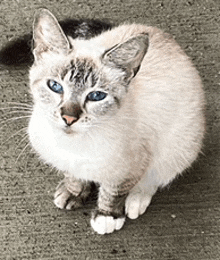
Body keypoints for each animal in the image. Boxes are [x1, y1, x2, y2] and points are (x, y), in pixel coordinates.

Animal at [1, 9, 206, 235]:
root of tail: (160, 33)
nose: (69, 118)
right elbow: (74, 176)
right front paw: (73, 192)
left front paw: (107, 217)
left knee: (157, 177)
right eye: (55, 86)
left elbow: (114, 192)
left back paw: (136, 201)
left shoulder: (132, 166)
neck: (72, 147)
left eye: (96, 96)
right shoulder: (68, 162)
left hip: (180, 148)